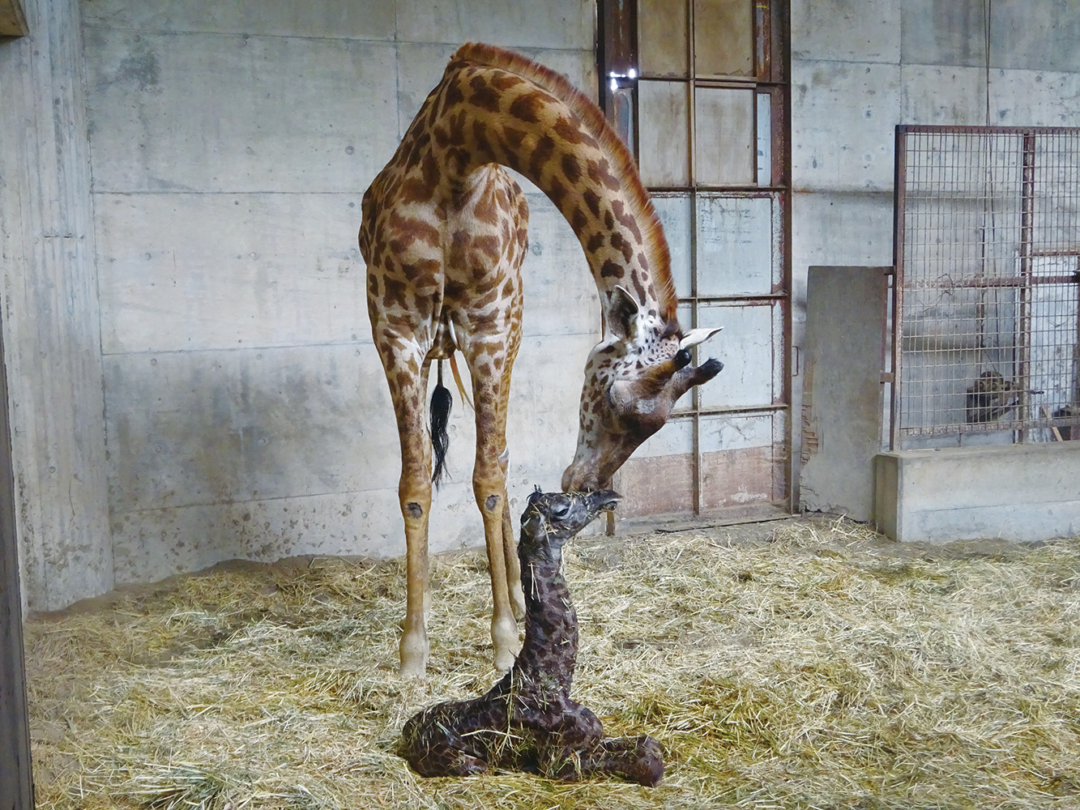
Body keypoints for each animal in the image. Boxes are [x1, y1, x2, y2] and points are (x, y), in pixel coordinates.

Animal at [362, 44, 725, 678]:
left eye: (657, 426)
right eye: (614, 404)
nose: (585, 484)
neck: (456, 150)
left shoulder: (491, 324)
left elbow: (488, 478)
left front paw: (508, 638)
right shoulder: (396, 327)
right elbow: (415, 484)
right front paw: (412, 655)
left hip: (505, 331)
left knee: (498, 462)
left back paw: (511, 613)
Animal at [401, 488, 660, 786]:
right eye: (561, 509)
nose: (608, 494)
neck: (549, 683)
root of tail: (406, 732)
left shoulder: (593, 736)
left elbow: (644, 743)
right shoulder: (557, 762)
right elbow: (639, 760)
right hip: (472, 764)